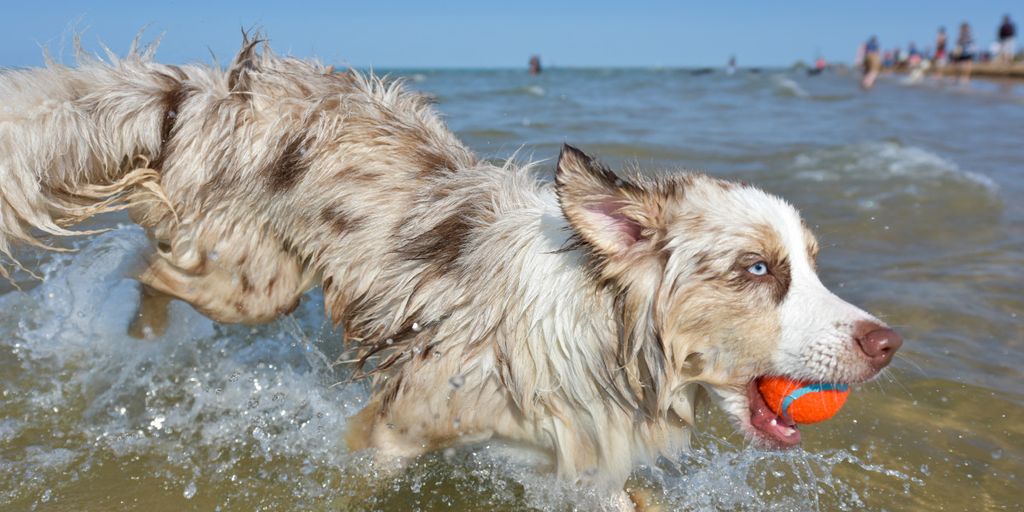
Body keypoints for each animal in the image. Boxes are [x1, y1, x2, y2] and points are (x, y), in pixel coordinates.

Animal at [0, 35, 901, 507]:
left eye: (811, 264)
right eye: (757, 269)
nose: (887, 342)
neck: (600, 334)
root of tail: (212, 86)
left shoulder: (580, 454)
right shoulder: (396, 427)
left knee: (154, 246)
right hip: (254, 284)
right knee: (155, 266)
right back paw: (135, 332)